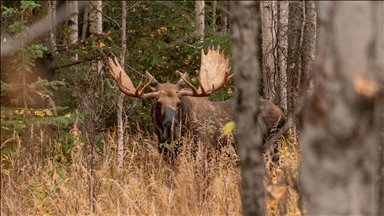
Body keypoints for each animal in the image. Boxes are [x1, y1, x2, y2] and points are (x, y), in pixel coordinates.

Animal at [106, 46, 286, 160]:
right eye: (158, 103)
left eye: (179, 103)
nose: (171, 128)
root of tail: (283, 114)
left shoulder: (206, 156)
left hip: (272, 149)